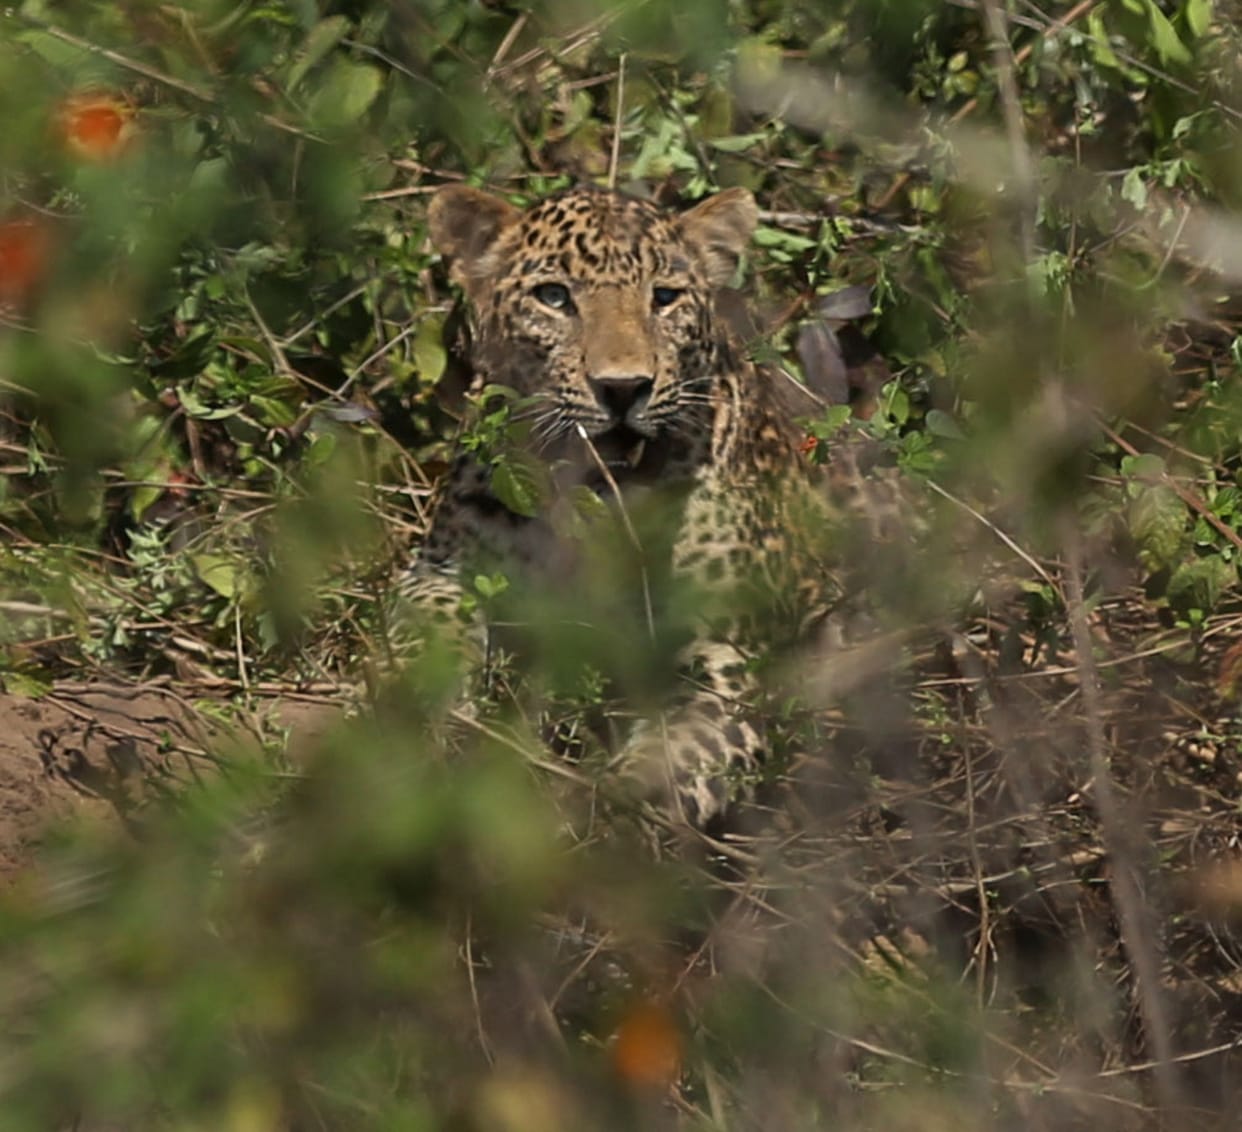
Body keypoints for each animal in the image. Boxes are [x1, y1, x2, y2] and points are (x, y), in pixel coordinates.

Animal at [393, 183, 843, 830]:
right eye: (554, 296)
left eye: (665, 298)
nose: (625, 387)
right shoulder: (440, 569)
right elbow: (433, 631)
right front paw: (440, 712)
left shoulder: (724, 653)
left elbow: (678, 752)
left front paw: (603, 811)